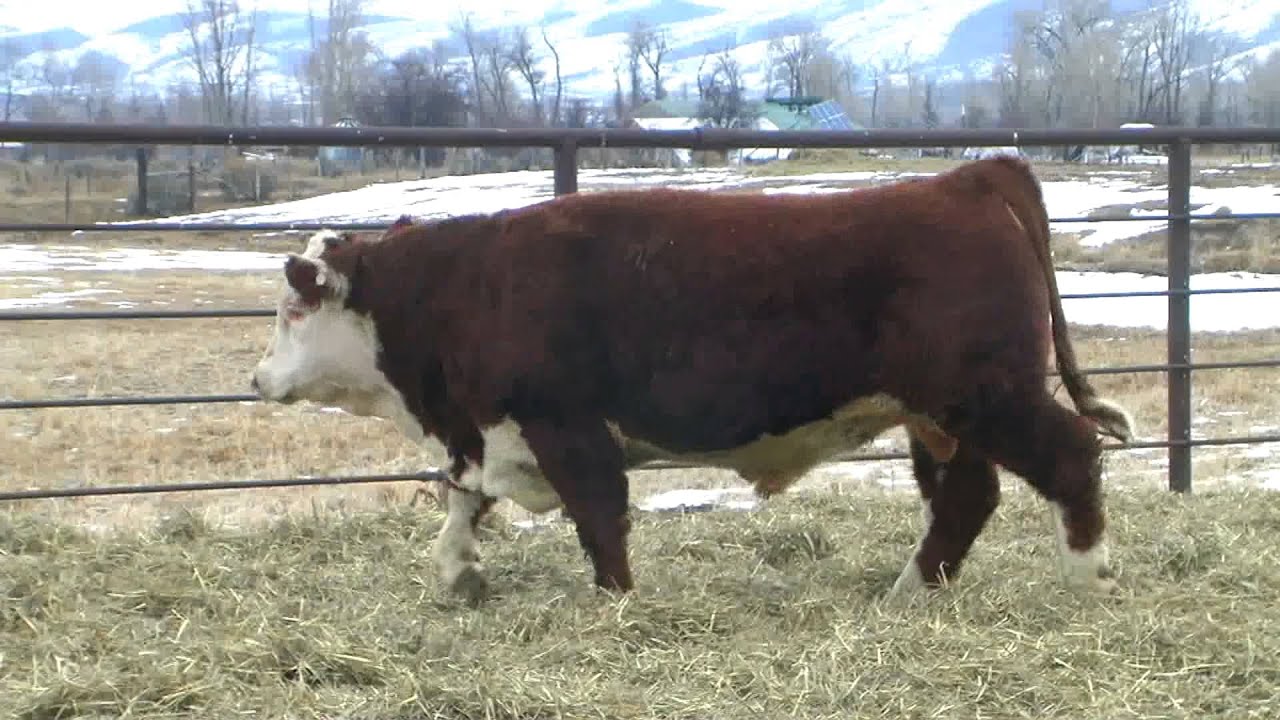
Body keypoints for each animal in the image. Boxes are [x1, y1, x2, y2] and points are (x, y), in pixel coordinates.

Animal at [249, 155, 1135, 603]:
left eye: (291, 309)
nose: (257, 379)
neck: (471, 286)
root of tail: (966, 177)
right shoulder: (487, 432)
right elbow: (462, 504)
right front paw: (456, 575)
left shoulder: (567, 428)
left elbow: (599, 518)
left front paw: (616, 602)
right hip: (943, 416)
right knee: (967, 498)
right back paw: (911, 592)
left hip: (991, 396)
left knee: (1070, 457)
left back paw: (1087, 580)